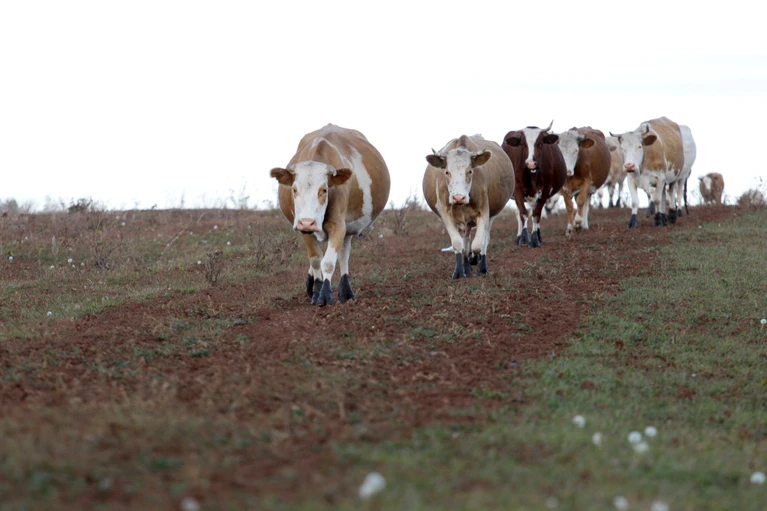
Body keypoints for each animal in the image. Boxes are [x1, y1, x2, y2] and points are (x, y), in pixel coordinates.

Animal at [270, 124, 390, 306]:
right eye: (294, 189)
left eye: (324, 189)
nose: (308, 222)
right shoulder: (303, 229)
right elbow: (315, 259)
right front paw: (316, 289)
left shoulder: (338, 225)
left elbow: (327, 262)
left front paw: (325, 294)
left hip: (348, 227)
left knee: (343, 255)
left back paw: (345, 291)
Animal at [423, 135, 515, 279]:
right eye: (447, 172)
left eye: (470, 171)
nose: (458, 197)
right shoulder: (446, 215)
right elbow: (458, 244)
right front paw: (459, 272)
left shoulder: (484, 212)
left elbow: (478, 245)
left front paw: (476, 262)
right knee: (465, 242)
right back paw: (465, 268)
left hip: (490, 217)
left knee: (483, 241)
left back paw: (479, 266)